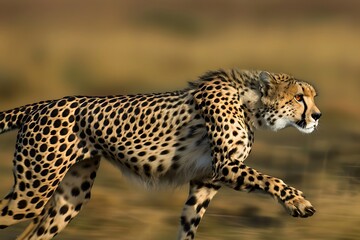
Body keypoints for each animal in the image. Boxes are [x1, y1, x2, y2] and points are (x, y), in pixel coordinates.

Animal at [0, 69, 320, 238]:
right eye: (298, 97)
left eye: (312, 96)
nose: (317, 116)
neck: (251, 105)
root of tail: (42, 104)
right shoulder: (225, 167)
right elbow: (272, 180)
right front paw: (298, 202)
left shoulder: (205, 182)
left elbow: (189, 222)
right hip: (32, 192)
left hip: (71, 195)